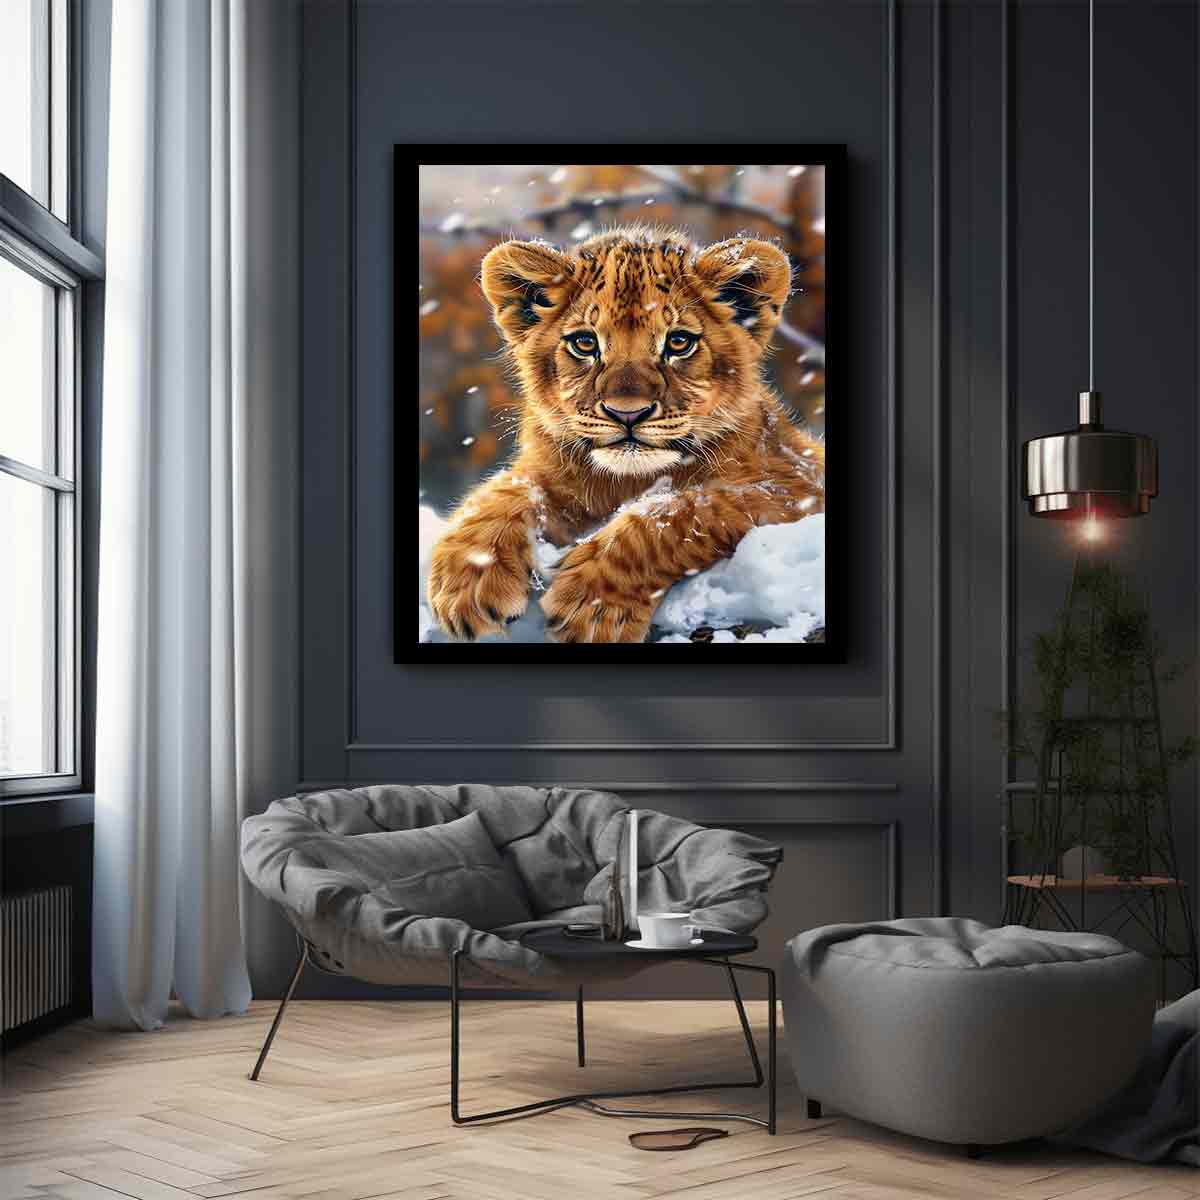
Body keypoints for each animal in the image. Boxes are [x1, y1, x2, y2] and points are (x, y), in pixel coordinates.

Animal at [426, 226, 825, 644]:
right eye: (585, 343)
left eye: (679, 342)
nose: (627, 413)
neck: (625, 481)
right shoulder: (549, 471)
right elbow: (505, 491)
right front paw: (467, 580)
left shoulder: (796, 485)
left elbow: (681, 510)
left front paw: (592, 604)